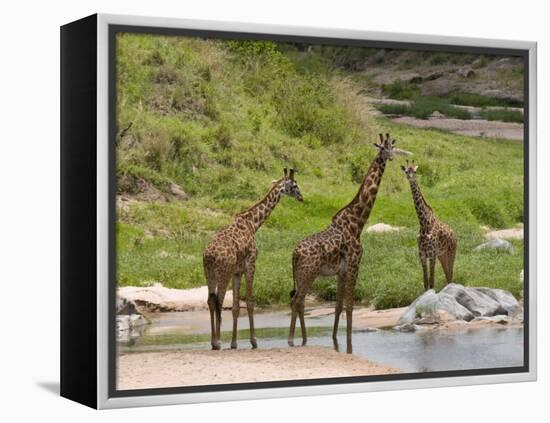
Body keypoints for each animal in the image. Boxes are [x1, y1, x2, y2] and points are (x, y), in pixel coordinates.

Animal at [204, 169, 304, 352]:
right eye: (294, 185)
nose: (302, 197)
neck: (253, 223)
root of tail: (209, 256)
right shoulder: (251, 264)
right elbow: (250, 302)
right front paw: (254, 341)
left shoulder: (237, 272)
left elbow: (236, 307)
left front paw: (234, 343)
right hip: (223, 273)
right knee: (218, 301)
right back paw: (217, 342)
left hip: (210, 274)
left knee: (210, 301)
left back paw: (214, 341)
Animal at [288, 134, 402, 352]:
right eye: (383, 148)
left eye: (392, 147)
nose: (391, 157)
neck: (357, 223)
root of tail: (294, 253)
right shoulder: (354, 264)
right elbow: (350, 306)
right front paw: (349, 341)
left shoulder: (340, 270)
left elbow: (338, 305)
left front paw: (335, 339)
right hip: (309, 273)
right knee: (297, 301)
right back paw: (292, 340)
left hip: (300, 274)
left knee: (299, 301)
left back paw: (304, 338)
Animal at [404, 161, 460, 290]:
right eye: (406, 171)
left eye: (414, 171)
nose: (410, 177)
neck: (423, 223)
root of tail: (454, 233)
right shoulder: (422, 254)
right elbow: (426, 282)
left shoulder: (432, 253)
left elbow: (431, 282)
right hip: (442, 255)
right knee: (447, 274)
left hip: (451, 251)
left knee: (450, 274)